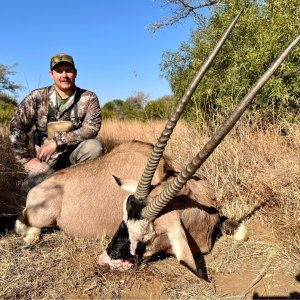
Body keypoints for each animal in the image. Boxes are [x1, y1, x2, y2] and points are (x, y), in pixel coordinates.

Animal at [14, 9, 300, 280]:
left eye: (146, 236)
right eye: (122, 222)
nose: (104, 262)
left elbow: (241, 231)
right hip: (40, 215)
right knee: (24, 224)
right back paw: (30, 237)